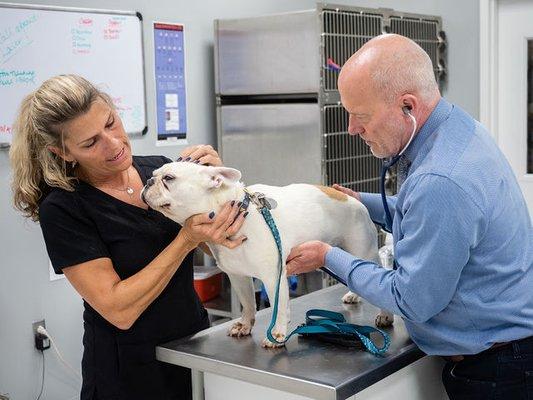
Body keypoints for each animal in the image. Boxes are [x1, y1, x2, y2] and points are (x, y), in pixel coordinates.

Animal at [140, 162, 390, 346]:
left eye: (168, 178)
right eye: (153, 175)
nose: (148, 181)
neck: (232, 211)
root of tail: (352, 198)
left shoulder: (273, 276)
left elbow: (279, 307)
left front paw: (277, 334)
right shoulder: (238, 277)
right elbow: (248, 302)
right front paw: (245, 325)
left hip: (363, 248)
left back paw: (386, 315)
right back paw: (354, 295)